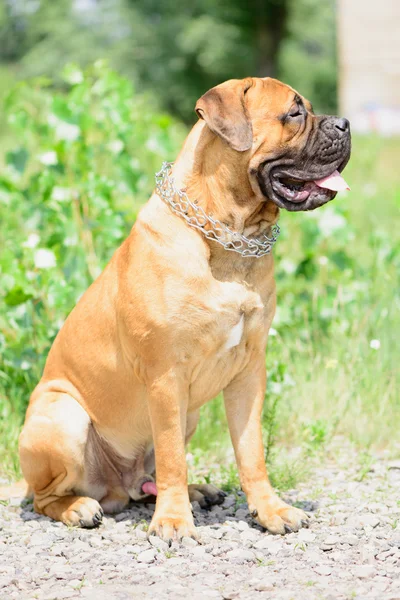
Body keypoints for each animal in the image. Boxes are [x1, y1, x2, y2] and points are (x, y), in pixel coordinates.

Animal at [14, 77, 350, 540]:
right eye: (295, 113)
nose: (346, 124)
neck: (228, 238)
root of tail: (118, 485)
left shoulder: (249, 372)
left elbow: (251, 452)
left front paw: (271, 510)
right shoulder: (165, 375)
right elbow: (172, 454)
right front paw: (173, 521)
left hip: (186, 415)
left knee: (146, 483)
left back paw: (195, 492)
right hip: (64, 418)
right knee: (46, 497)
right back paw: (80, 507)